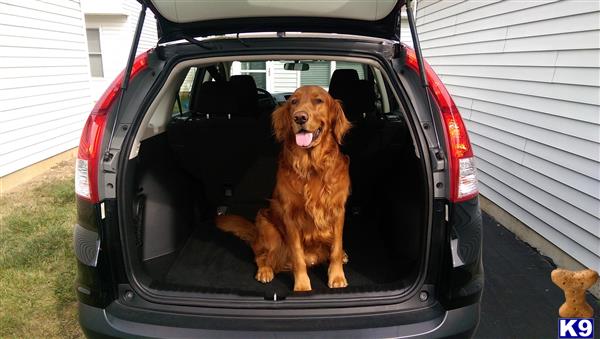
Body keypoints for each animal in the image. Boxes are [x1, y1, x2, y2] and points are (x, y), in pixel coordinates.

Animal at [217, 85, 352, 292]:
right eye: (294, 102)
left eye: (319, 100)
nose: (300, 117)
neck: (312, 166)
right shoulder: (290, 217)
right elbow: (297, 256)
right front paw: (302, 285)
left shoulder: (338, 211)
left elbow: (336, 247)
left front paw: (337, 277)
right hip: (266, 225)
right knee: (261, 255)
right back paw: (265, 271)